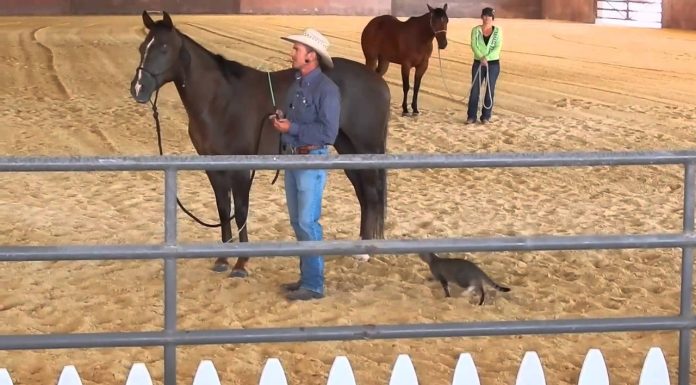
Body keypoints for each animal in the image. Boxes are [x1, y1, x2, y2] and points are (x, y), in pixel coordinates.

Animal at [130, 11, 392, 276]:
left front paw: (241, 262)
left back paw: (365, 252)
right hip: (348, 148)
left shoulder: (241, 168)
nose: (138, 88)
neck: (220, 101)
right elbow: (223, 210)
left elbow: (240, 211)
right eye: (142, 47)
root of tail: (379, 82)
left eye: (164, 48)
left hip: (365, 147)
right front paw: (222, 259)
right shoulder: (213, 167)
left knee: (371, 193)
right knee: (362, 193)